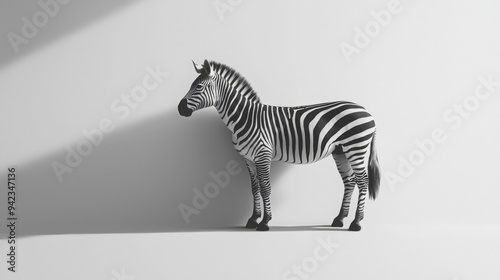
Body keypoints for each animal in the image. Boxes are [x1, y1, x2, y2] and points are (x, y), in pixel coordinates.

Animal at [178, 59, 380, 232]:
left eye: (199, 87)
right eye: (191, 86)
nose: (180, 109)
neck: (245, 118)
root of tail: (366, 111)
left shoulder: (263, 154)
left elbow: (266, 187)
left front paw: (265, 222)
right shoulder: (248, 159)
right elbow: (254, 188)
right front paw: (253, 219)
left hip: (356, 147)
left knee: (363, 181)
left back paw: (356, 222)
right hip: (341, 151)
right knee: (350, 181)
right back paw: (339, 219)